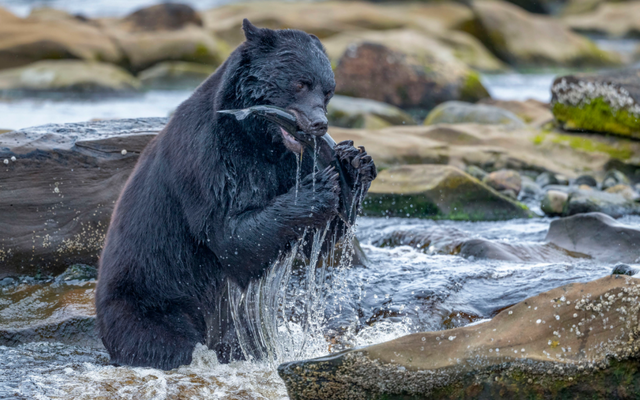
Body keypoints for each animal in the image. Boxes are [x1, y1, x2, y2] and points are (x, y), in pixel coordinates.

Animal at [95, 18, 376, 368]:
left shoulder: (287, 161)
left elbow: (314, 238)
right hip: (150, 295)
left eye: (328, 90)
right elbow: (229, 235)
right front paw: (316, 188)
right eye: (300, 83)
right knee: (159, 338)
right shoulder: (209, 158)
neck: (257, 138)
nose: (319, 124)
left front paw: (354, 163)